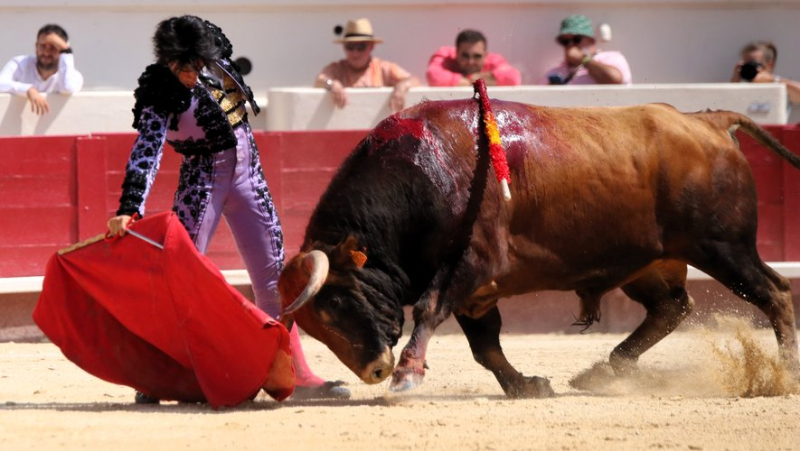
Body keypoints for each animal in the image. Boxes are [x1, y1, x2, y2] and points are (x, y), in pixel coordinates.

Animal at [276, 85, 800, 400]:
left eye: (336, 302)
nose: (375, 370)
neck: (423, 175)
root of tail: (707, 121)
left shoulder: (472, 261)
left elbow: (429, 309)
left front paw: (407, 376)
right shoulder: (476, 291)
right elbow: (485, 346)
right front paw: (526, 384)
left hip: (723, 248)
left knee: (774, 293)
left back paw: (786, 374)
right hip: (649, 262)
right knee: (672, 307)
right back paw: (602, 372)